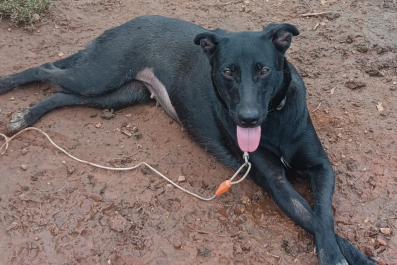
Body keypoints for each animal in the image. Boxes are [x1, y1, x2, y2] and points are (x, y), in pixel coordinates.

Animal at [0, 15, 376, 262]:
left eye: (264, 70)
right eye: (228, 71)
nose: (247, 119)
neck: (275, 119)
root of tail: (128, 21)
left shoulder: (321, 167)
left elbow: (322, 215)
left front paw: (344, 253)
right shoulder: (275, 182)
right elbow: (311, 217)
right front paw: (340, 255)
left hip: (118, 94)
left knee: (61, 94)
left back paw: (27, 115)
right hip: (100, 76)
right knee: (47, 69)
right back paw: (11, 92)